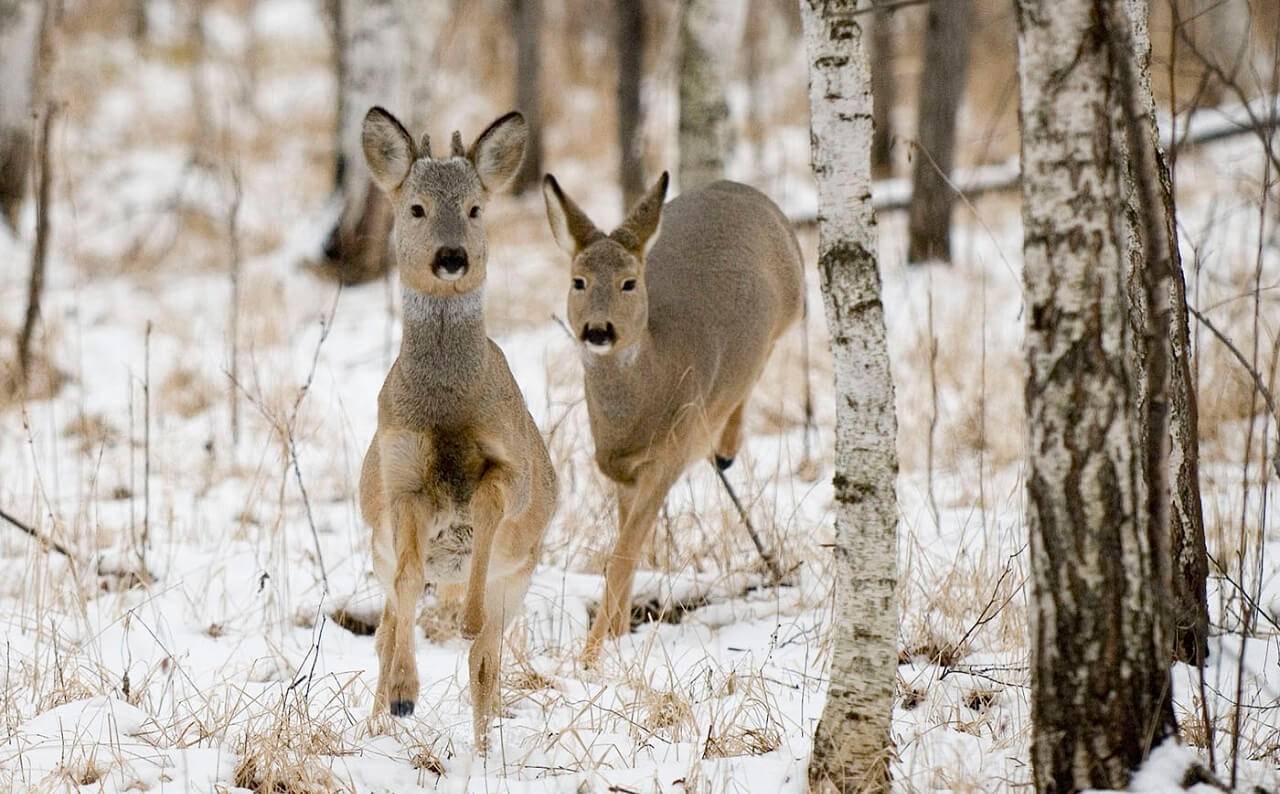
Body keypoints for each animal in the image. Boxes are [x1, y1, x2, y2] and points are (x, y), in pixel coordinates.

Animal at [360, 106, 560, 753]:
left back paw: (483, 746)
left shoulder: (512, 467)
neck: (447, 411)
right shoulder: (399, 480)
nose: (451, 257)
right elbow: (405, 584)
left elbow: (490, 504)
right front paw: (404, 695)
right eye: (416, 208)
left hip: (519, 575)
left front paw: (465, 618)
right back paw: (379, 719)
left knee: (487, 660)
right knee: (386, 625)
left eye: (475, 208)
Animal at [540, 174, 798, 665]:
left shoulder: (668, 458)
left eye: (628, 282)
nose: (597, 330)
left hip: (792, 306)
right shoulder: (621, 474)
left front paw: (591, 655)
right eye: (578, 281)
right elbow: (627, 551)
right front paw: (617, 635)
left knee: (760, 365)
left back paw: (726, 449)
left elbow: (622, 556)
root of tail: (741, 188)